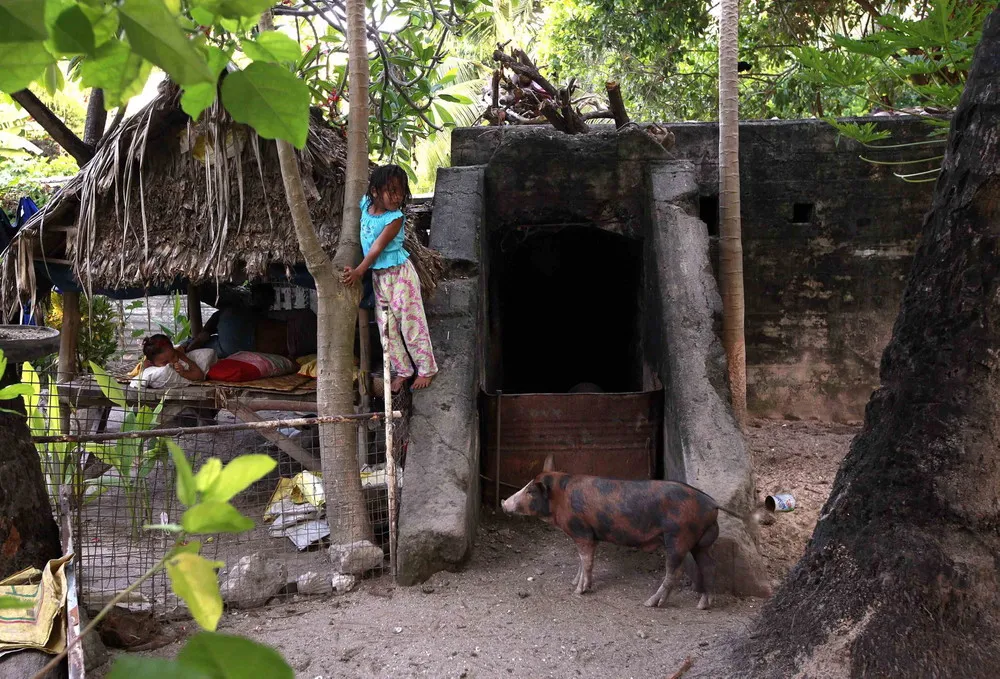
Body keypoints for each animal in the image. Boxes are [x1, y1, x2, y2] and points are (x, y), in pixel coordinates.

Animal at [504, 456, 748, 612]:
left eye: (530, 491)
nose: (503, 502)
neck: (561, 499)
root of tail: (711, 503)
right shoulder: (587, 535)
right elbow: (581, 561)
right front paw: (574, 583)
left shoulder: (582, 531)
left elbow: (587, 560)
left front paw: (579, 591)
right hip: (701, 542)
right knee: (709, 566)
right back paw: (703, 605)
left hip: (679, 537)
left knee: (675, 572)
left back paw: (650, 604)